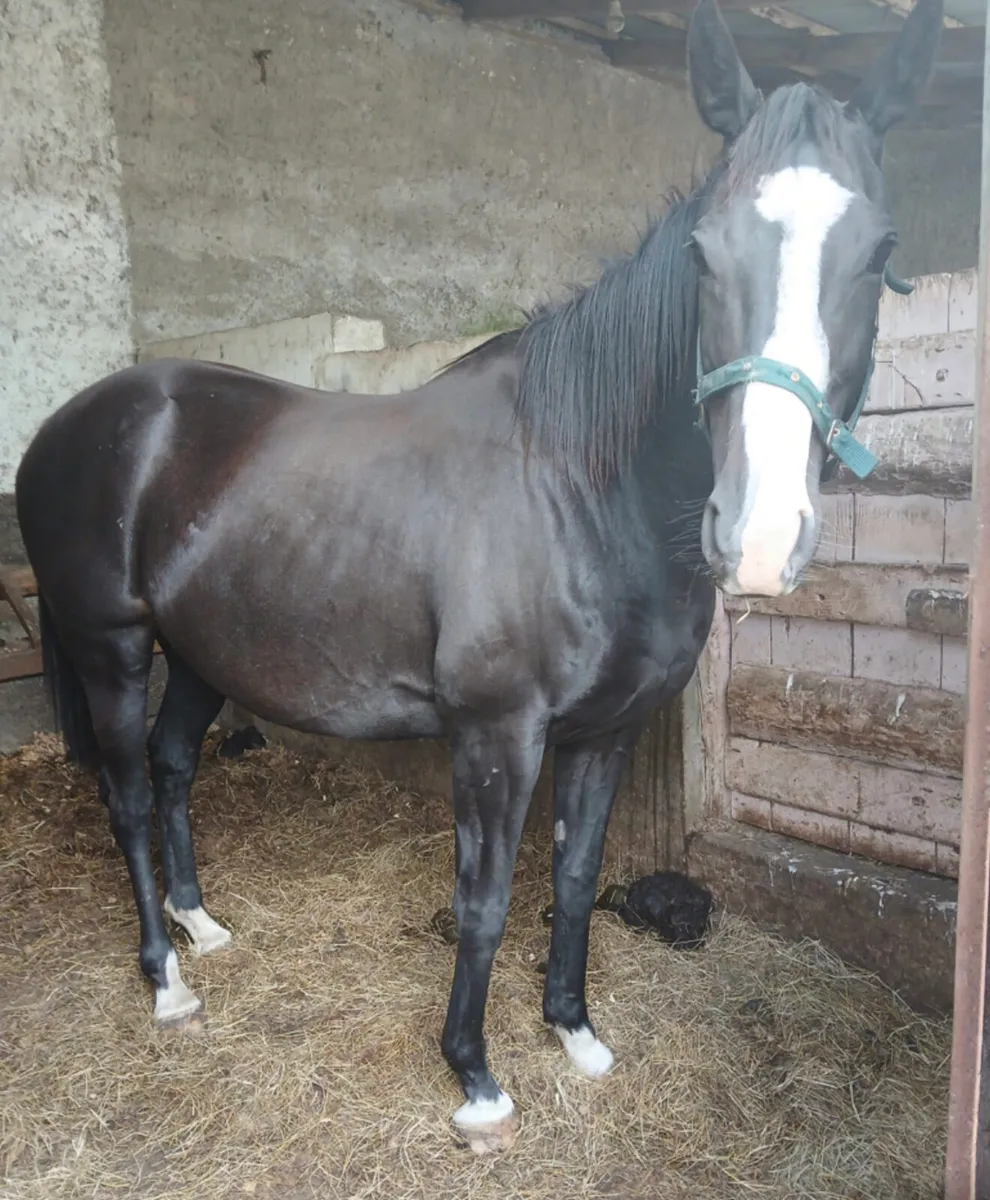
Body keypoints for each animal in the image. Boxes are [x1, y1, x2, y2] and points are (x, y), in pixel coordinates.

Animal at [14, 0, 942, 1153]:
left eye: (881, 251)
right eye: (703, 252)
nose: (761, 532)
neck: (579, 484)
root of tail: (71, 425)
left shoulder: (607, 732)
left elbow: (577, 879)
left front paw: (575, 1032)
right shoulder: (497, 735)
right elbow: (487, 897)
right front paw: (475, 1078)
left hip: (200, 651)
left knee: (177, 766)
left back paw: (204, 928)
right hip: (112, 645)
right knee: (132, 795)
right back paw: (166, 982)